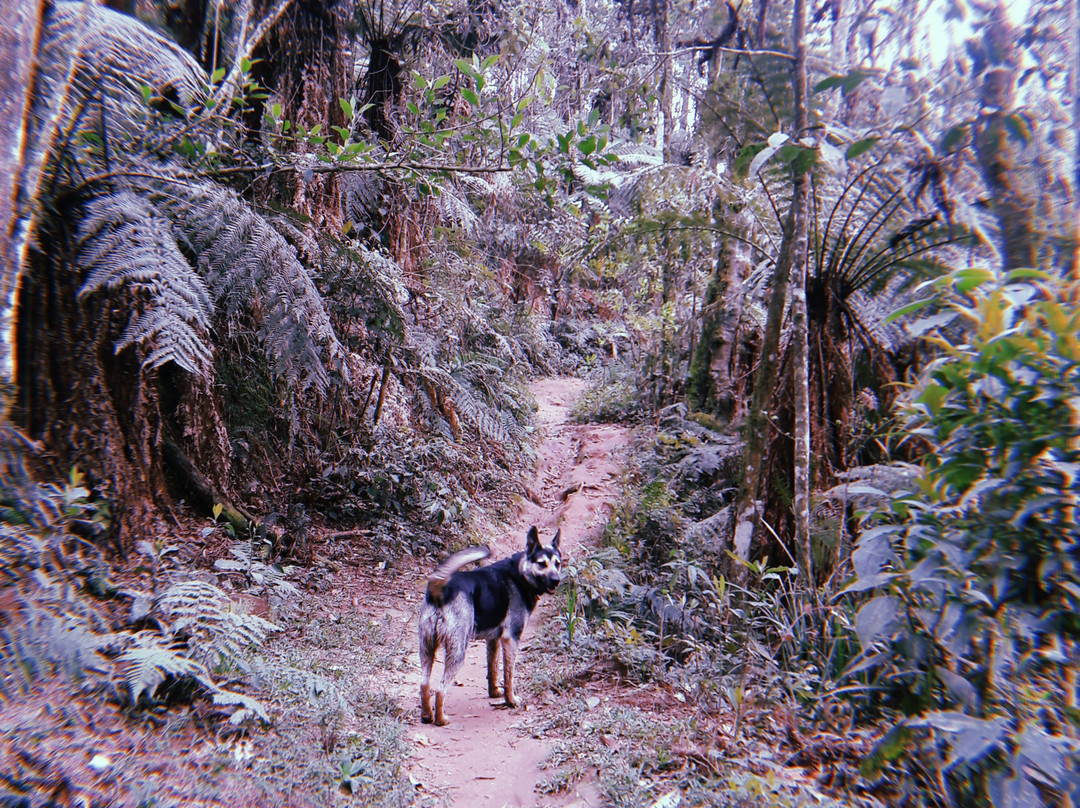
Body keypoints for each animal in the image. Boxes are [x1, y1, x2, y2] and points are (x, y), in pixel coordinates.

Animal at [416, 524, 561, 725]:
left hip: (427, 647)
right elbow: (508, 675)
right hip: (457, 651)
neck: (520, 573)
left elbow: (493, 669)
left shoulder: (493, 640)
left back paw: (427, 715)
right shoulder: (510, 639)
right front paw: (511, 700)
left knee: (424, 684)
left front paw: (494, 693)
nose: (557, 580)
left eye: (558, 563)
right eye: (541, 564)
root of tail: (442, 589)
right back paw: (441, 719)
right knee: (440, 689)